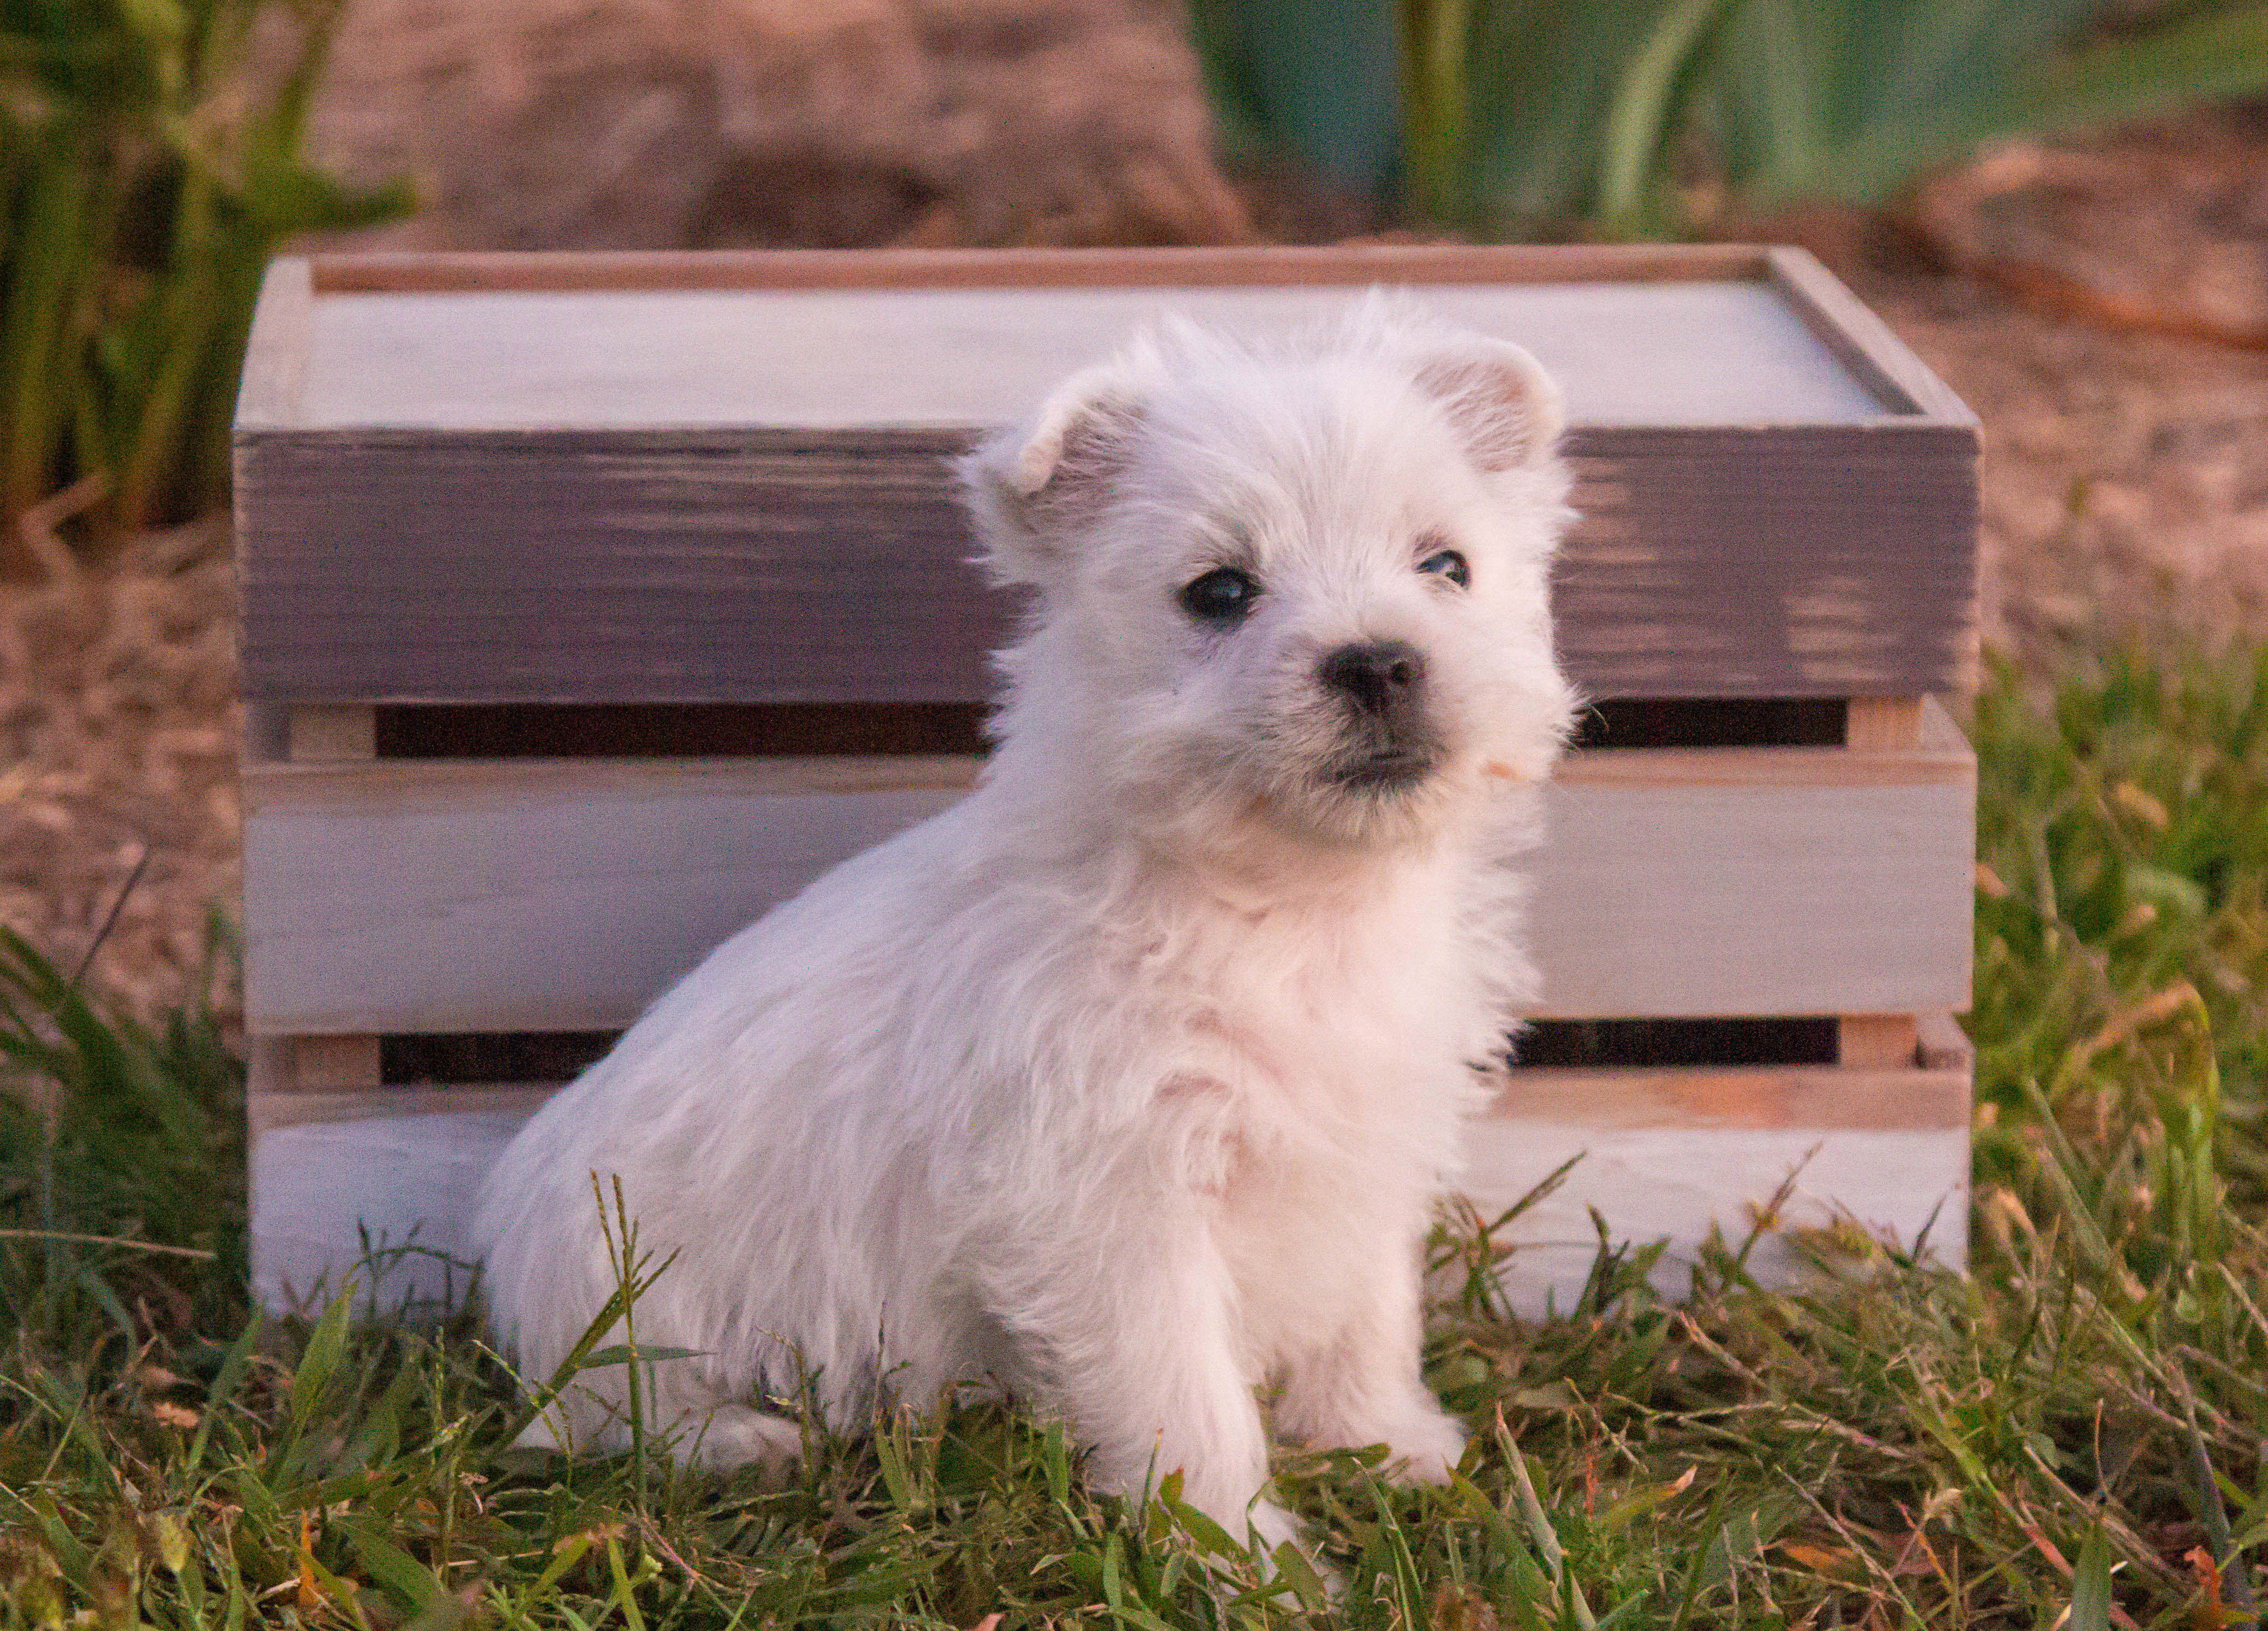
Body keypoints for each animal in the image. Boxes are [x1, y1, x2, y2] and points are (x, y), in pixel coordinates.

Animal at [474, 299, 1578, 1551]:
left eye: (1445, 566)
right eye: (1218, 591)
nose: (1378, 660)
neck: (1284, 904)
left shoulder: (1365, 1145)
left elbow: (1367, 1311)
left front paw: (1389, 1446)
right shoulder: (1113, 1206)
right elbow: (1184, 1399)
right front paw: (1244, 1553)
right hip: (619, 1289)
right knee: (601, 1414)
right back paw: (744, 1441)